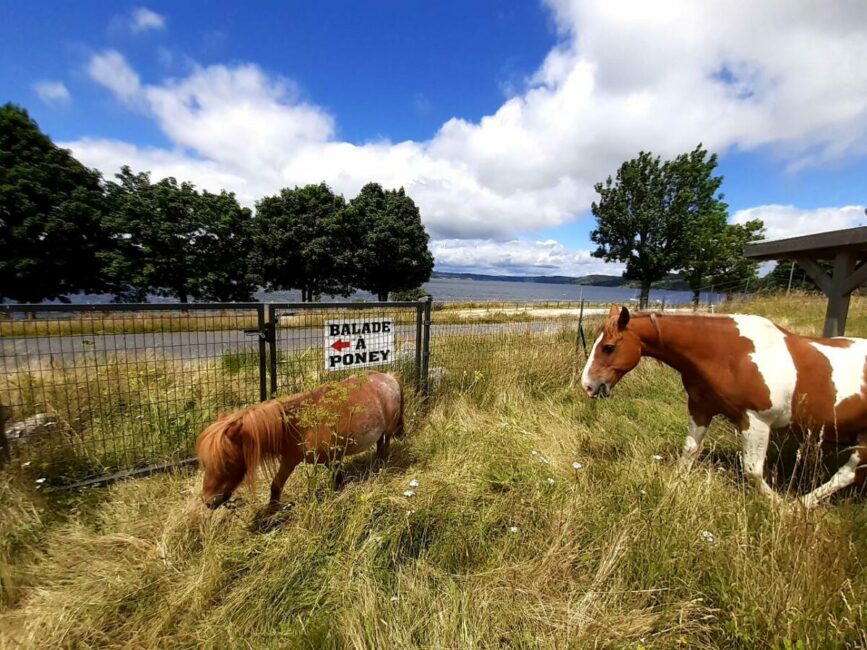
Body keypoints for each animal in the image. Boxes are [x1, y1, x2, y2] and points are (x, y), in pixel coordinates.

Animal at [197, 372, 404, 508]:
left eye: (226, 462)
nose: (207, 501)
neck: (300, 425)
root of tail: (389, 377)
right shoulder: (290, 460)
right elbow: (276, 486)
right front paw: (271, 514)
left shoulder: (332, 459)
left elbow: (338, 481)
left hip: (387, 431)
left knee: (384, 446)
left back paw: (379, 465)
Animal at [584, 306, 867, 506]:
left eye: (608, 347)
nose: (587, 385)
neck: (729, 352)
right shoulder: (701, 408)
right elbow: (689, 451)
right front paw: (675, 486)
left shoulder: (755, 421)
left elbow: (752, 471)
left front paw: (776, 504)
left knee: (849, 471)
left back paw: (798, 505)